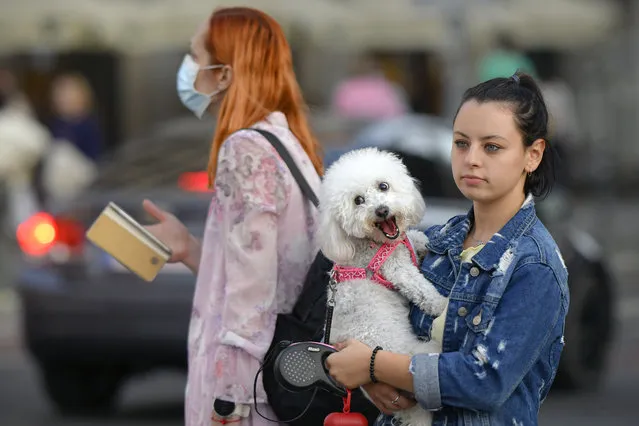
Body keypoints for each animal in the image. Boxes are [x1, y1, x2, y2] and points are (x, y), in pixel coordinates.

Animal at [318, 147, 444, 426]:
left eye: (383, 186)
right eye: (358, 200)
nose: (382, 210)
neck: (372, 244)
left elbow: (414, 239)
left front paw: (423, 241)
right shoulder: (396, 270)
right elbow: (422, 289)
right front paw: (444, 305)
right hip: (414, 354)